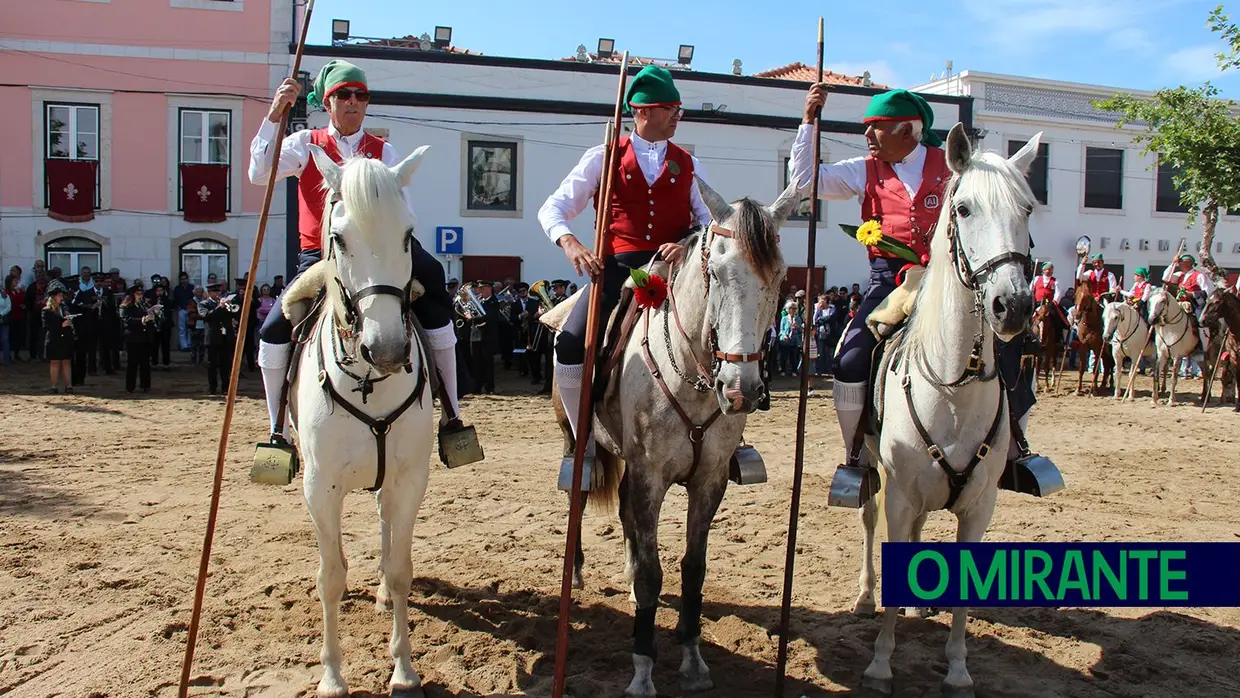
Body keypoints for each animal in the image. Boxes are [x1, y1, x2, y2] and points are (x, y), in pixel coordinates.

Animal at [283, 143, 438, 698]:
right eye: (339, 238)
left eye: (408, 234)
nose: (388, 349)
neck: (369, 381)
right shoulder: (320, 486)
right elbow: (329, 577)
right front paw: (332, 676)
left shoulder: (409, 480)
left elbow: (400, 569)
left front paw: (404, 669)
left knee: (385, 532)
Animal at [858, 122, 1041, 694]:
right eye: (963, 208)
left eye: (1027, 208)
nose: (1013, 306)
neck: (953, 385)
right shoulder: (898, 494)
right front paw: (879, 664)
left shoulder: (980, 507)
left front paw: (959, 669)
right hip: (872, 469)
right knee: (868, 518)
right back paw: (865, 596)